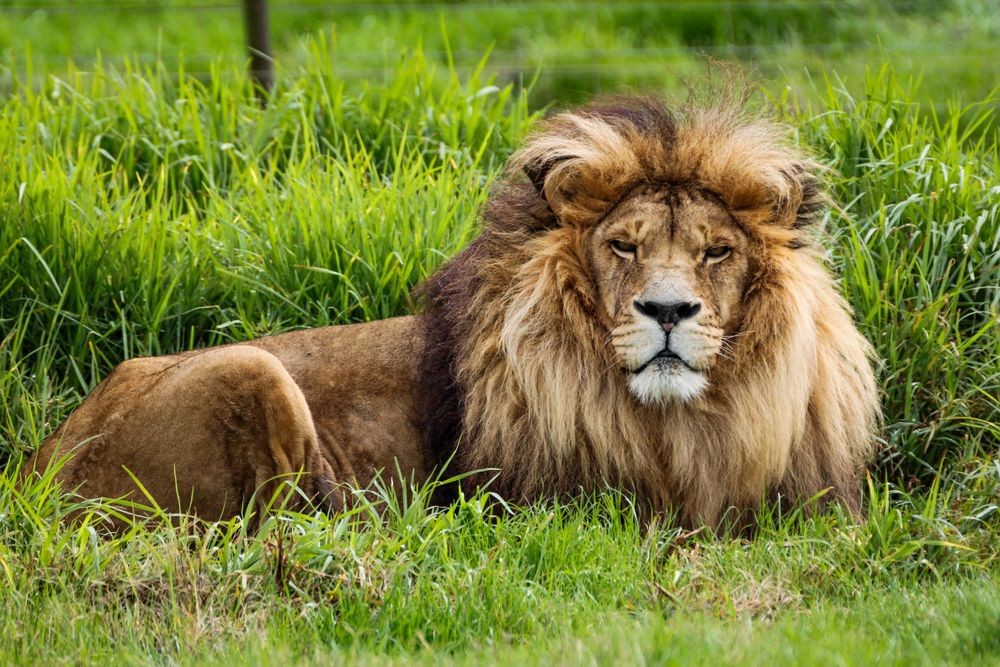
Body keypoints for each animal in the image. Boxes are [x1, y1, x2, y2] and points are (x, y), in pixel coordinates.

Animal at [24, 95, 880, 529]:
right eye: (624, 245)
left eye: (716, 252)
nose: (667, 309)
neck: (683, 422)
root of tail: (35, 466)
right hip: (252, 368)